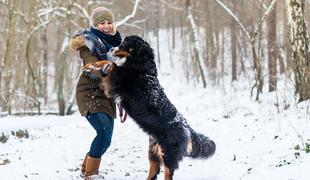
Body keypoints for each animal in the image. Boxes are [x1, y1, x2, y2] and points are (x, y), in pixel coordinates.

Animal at [82, 35, 216, 180]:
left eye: (125, 42)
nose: (111, 48)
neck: (141, 65)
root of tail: (187, 128)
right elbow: (108, 63)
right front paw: (90, 65)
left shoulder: (117, 79)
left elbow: (112, 64)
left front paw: (95, 65)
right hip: (153, 153)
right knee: (153, 172)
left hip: (168, 155)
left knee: (168, 173)